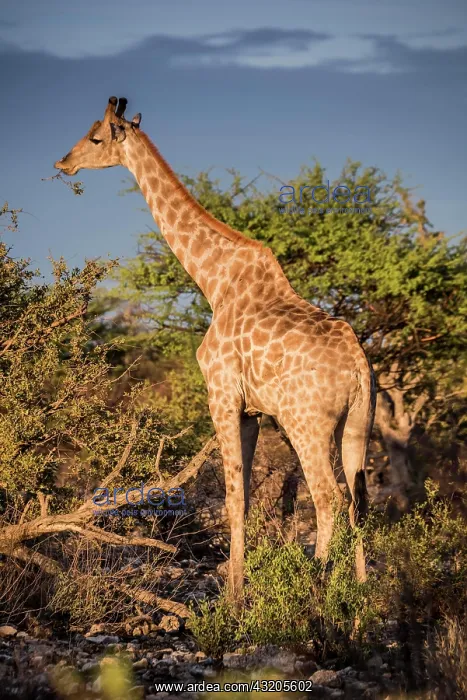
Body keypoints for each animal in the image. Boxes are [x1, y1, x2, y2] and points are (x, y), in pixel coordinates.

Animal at [54, 97, 376, 600]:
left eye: (95, 137)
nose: (63, 163)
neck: (214, 281)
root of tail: (359, 364)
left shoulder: (221, 395)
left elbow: (231, 497)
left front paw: (233, 599)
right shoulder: (252, 411)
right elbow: (243, 498)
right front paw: (238, 590)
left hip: (307, 424)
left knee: (328, 499)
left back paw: (316, 588)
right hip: (358, 422)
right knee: (359, 500)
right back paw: (360, 598)